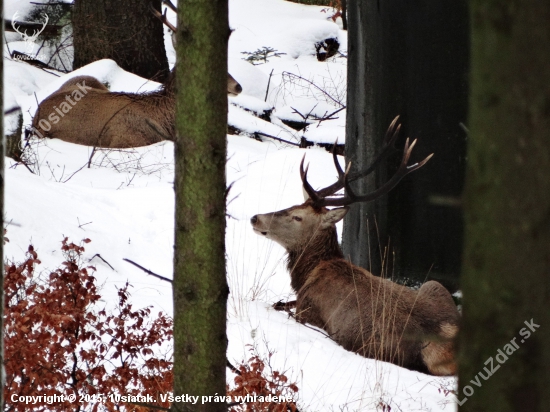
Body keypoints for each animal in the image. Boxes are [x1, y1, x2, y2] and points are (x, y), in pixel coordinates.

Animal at [251, 116, 462, 376]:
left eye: (297, 217)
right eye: (293, 205)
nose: (255, 218)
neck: (308, 274)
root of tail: (449, 349)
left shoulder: (306, 308)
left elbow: (278, 305)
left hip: (372, 343)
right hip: (434, 285)